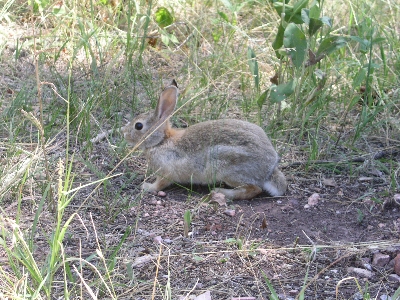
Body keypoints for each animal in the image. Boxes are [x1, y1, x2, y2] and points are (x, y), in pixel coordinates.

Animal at [122, 81, 288, 200]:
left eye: (138, 126)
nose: (123, 132)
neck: (161, 141)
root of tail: (269, 168)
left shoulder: (166, 172)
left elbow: (160, 185)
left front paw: (147, 187)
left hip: (228, 169)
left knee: (254, 189)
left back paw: (221, 192)